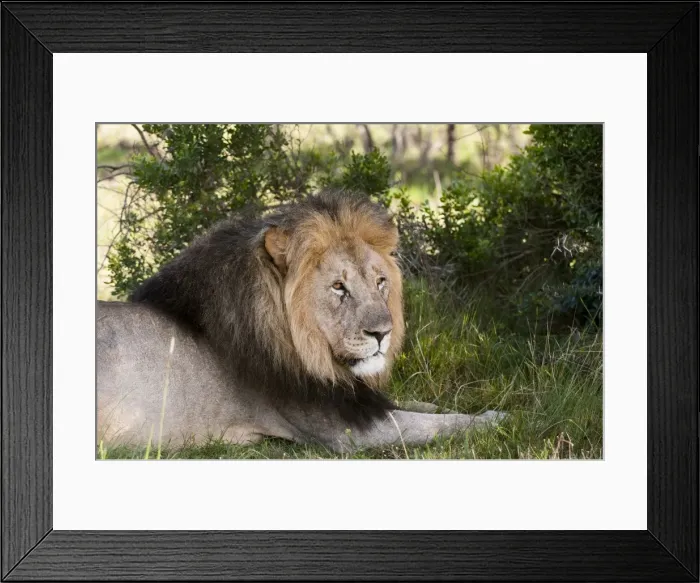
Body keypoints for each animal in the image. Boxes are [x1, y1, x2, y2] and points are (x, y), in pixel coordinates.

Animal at [97, 191, 500, 454]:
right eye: (338, 287)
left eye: (380, 282)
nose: (382, 334)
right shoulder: (345, 431)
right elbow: (438, 424)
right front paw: (498, 419)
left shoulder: (357, 400)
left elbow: (428, 406)